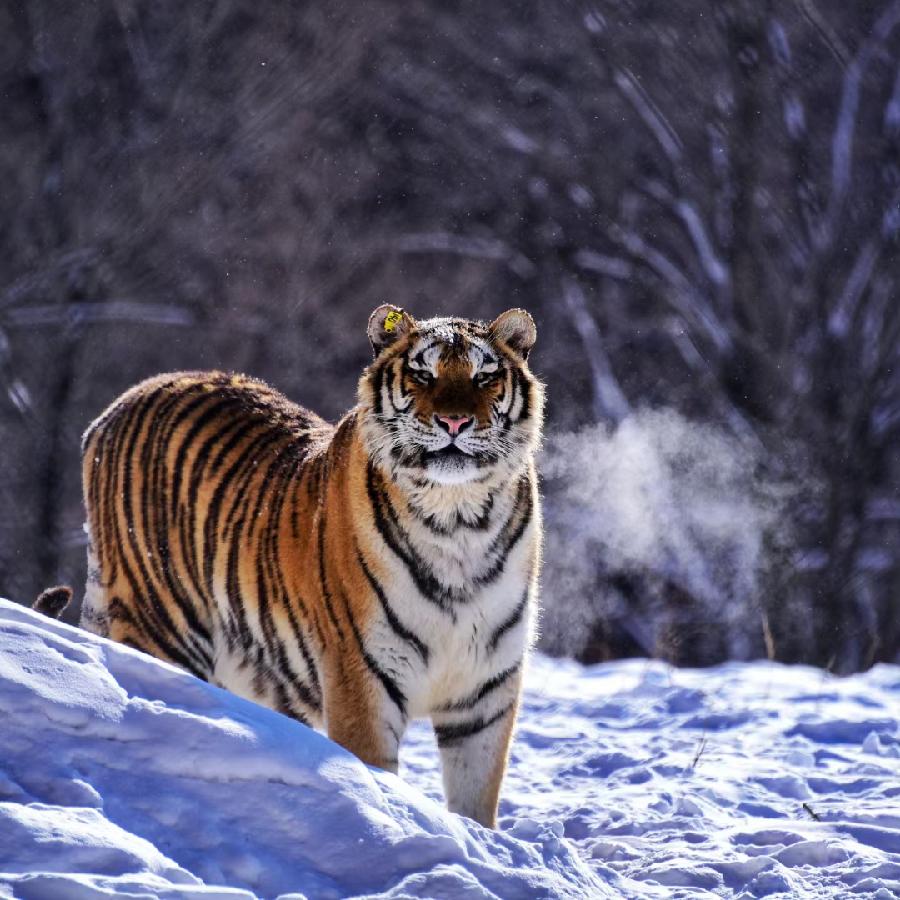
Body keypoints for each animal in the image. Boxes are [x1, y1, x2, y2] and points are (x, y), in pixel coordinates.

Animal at [43, 305, 543, 828]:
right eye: (423, 374)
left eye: (484, 376)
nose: (454, 421)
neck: (458, 519)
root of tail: (117, 406)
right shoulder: (362, 680)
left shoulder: (485, 693)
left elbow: (476, 802)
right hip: (160, 627)